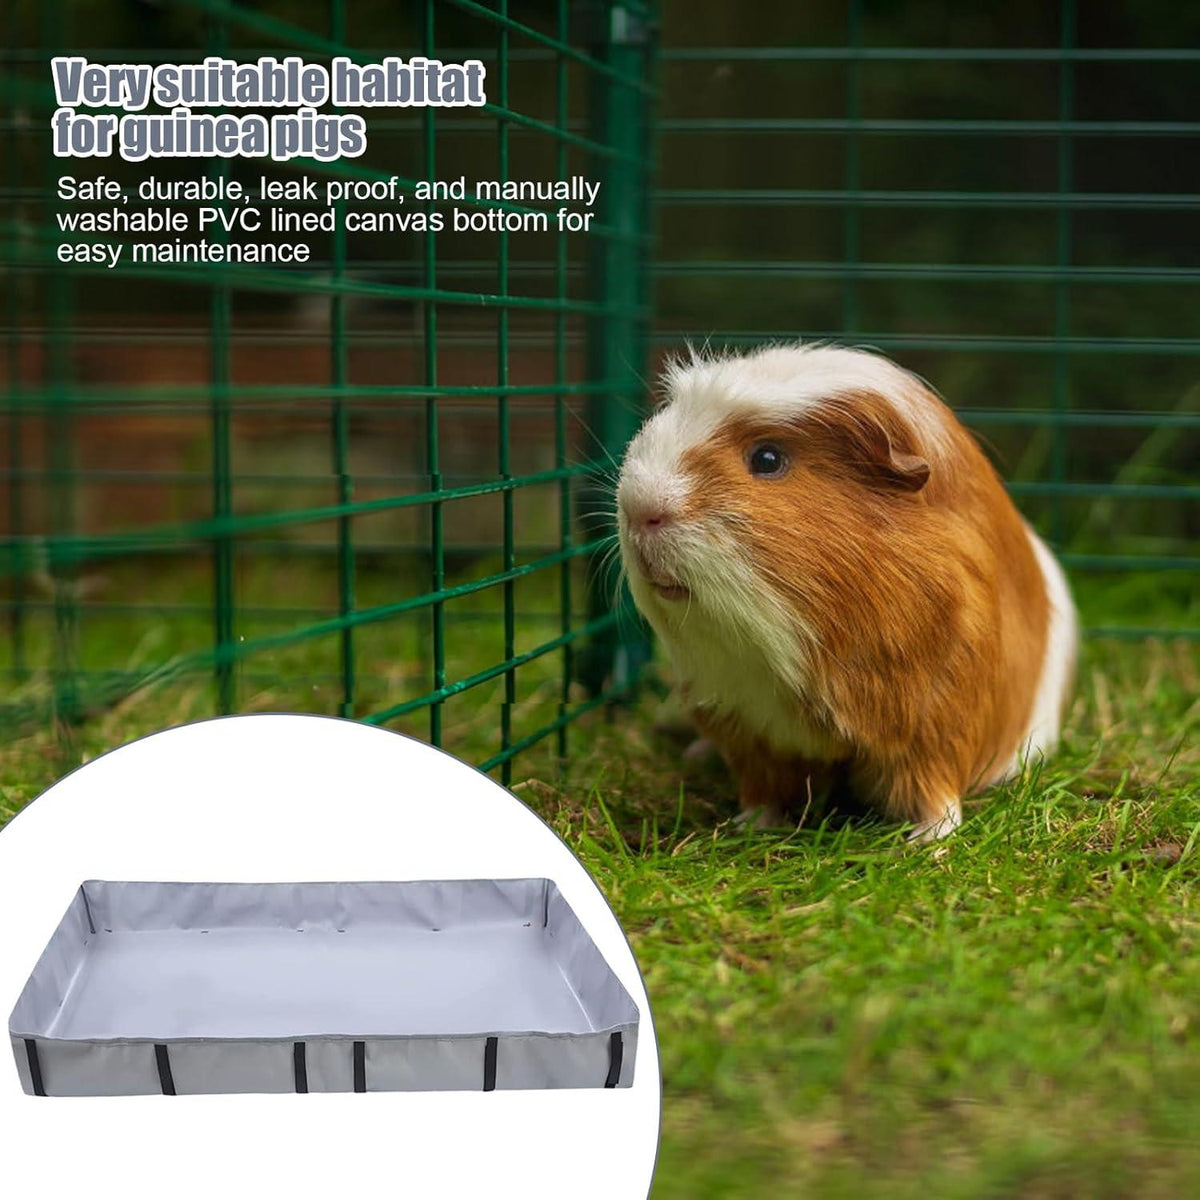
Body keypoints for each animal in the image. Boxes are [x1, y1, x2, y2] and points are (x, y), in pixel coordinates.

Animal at [616, 343, 1077, 840]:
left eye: (767, 459)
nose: (638, 507)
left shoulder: (938, 722)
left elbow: (934, 791)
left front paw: (926, 842)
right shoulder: (746, 723)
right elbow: (763, 786)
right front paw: (750, 825)